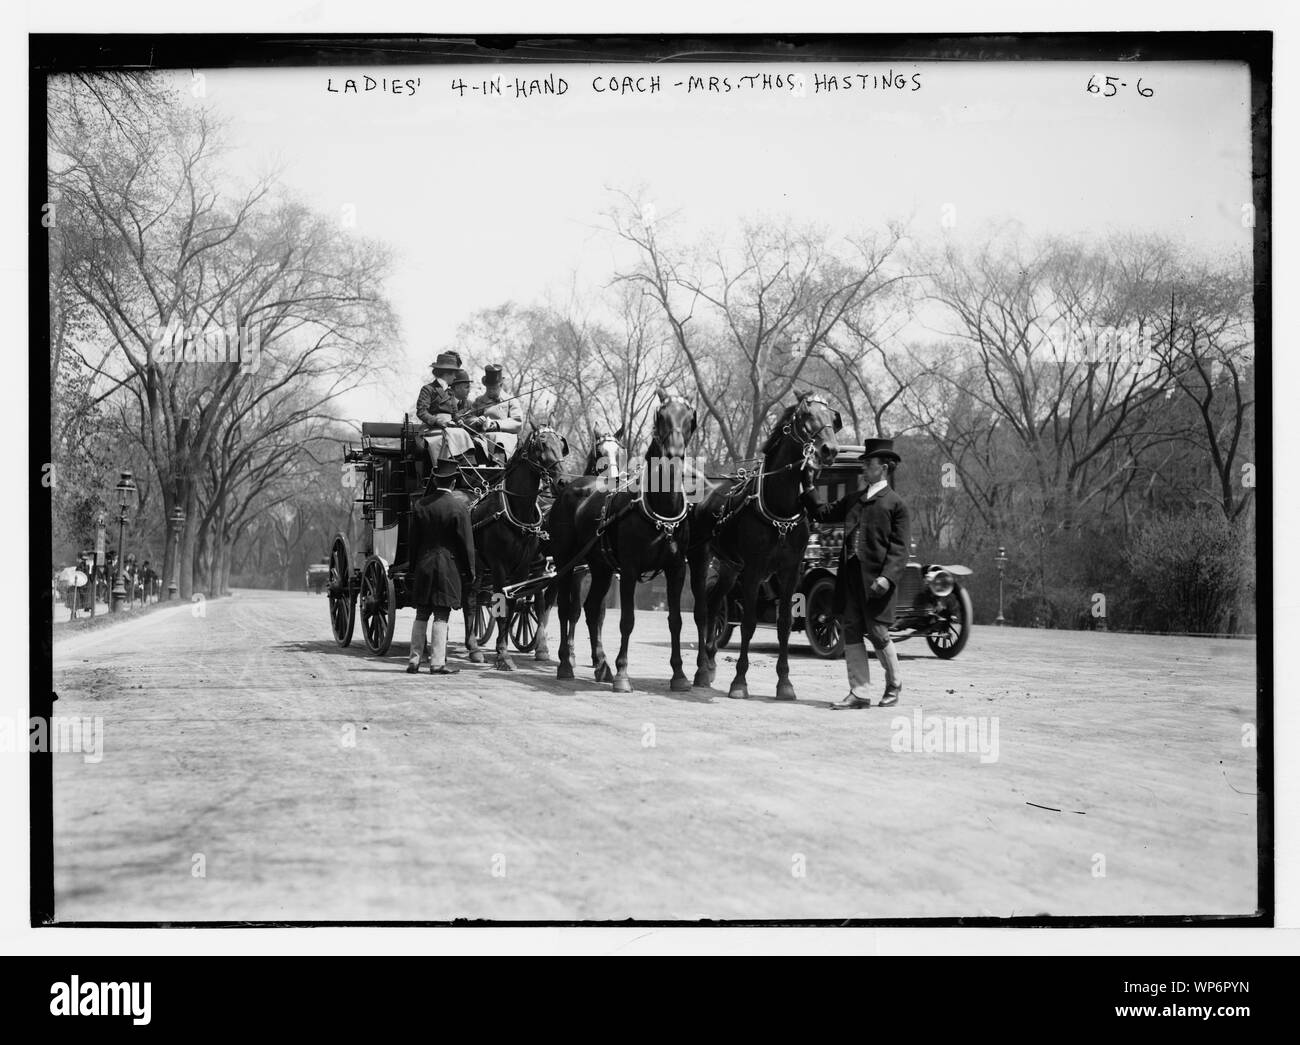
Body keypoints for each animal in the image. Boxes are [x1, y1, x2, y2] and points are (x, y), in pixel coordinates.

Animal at [460, 423, 566, 670]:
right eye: (541, 445)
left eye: (561, 444)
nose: (562, 481)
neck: (517, 511)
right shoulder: (500, 565)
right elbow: (502, 604)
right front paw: (502, 655)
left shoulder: (523, 567)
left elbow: (513, 603)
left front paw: (505, 649)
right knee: (469, 599)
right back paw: (472, 648)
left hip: (482, 568)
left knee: (474, 599)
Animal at [546, 387, 702, 691]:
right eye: (661, 416)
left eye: (690, 417)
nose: (674, 452)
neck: (660, 509)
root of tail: (570, 487)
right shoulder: (629, 570)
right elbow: (627, 620)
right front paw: (622, 673)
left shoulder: (677, 569)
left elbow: (676, 620)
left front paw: (679, 674)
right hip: (566, 562)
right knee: (565, 609)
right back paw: (566, 664)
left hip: (600, 568)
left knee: (591, 608)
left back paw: (601, 665)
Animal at [691, 392, 842, 701]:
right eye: (806, 416)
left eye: (833, 419)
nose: (829, 450)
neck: (780, 507)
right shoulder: (754, 570)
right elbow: (748, 623)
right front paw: (739, 682)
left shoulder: (790, 571)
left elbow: (784, 624)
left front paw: (784, 683)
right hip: (704, 559)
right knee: (703, 610)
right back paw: (701, 669)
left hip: (729, 566)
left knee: (715, 605)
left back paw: (710, 663)